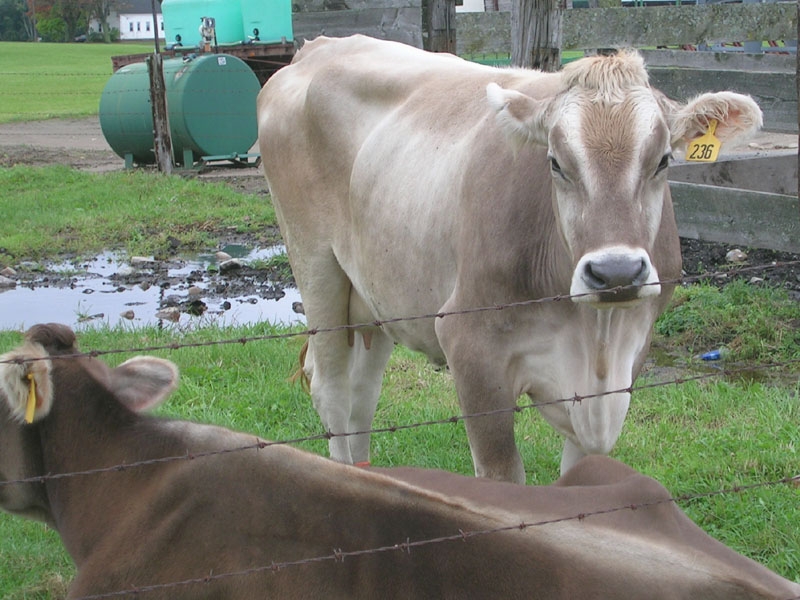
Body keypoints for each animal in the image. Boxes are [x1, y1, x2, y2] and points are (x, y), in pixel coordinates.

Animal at [256, 35, 764, 480]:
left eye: (662, 161)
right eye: (555, 163)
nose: (615, 271)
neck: (595, 339)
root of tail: (318, 47)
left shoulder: (627, 359)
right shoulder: (471, 348)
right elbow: (502, 477)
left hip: (374, 294)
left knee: (363, 396)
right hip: (316, 266)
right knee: (332, 390)